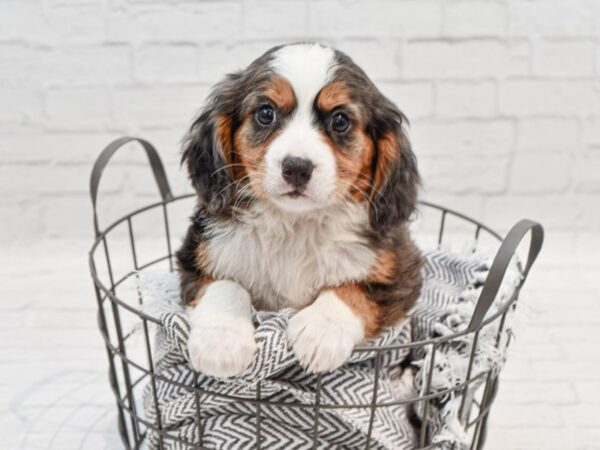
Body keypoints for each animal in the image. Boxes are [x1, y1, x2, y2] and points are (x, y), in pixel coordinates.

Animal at [176, 44, 424, 378]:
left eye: (340, 120)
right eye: (266, 113)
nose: (296, 167)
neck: (295, 223)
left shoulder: (401, 268)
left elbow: (355, 290)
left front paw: (322, 330)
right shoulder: (196, 254)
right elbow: (223, 283)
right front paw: (222, 340)